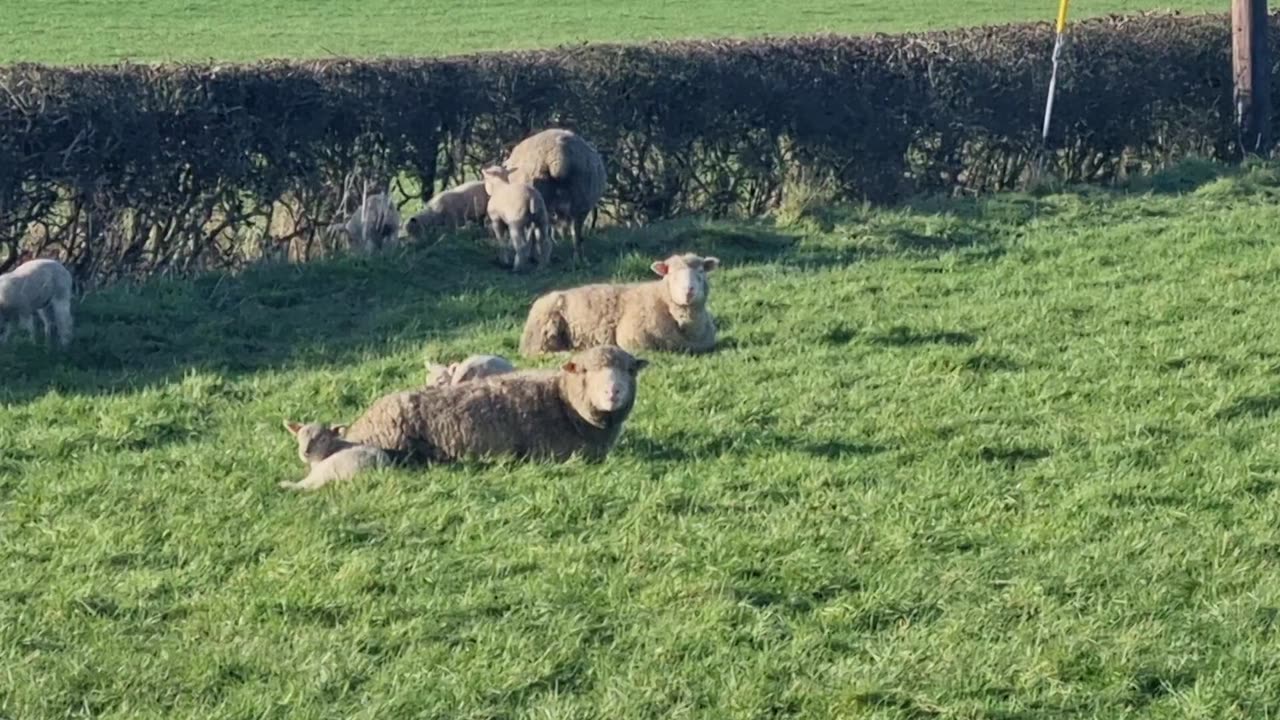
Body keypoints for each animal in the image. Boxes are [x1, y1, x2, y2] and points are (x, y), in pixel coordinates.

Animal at [501, 127, 606, 262]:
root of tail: (558, 156)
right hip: (581, 199)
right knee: (576, 233)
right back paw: (578, 258)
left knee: (537, 231)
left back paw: (533, 256)